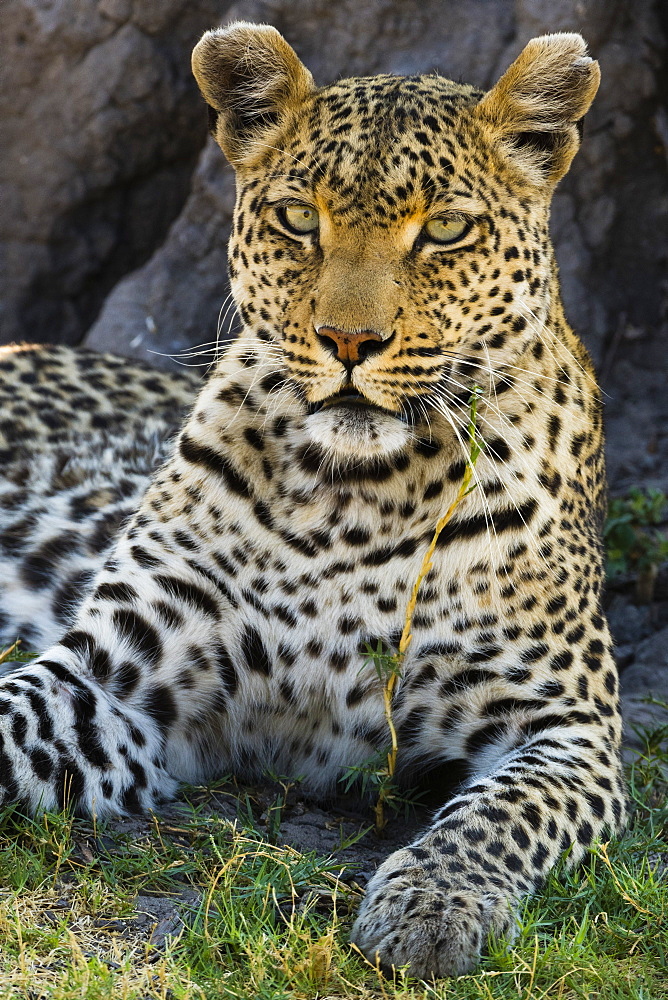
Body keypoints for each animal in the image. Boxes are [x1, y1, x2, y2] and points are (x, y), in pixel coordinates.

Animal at [0, 21, 628, 976]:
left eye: (446, 229)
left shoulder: (571, 725)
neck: (353, 496)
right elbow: (7, 716)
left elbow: (502, 814)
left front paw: (430, 905)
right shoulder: (116, 677)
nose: (348, 341)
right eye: (300, 219)